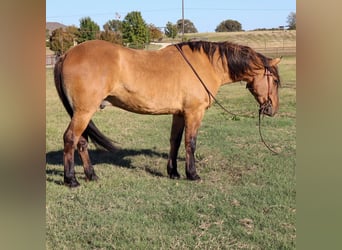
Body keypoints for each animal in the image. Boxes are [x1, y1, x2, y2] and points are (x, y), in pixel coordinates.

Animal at [54, 39, 280, 188]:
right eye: (276, 81)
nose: (273, 110)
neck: (205, 64)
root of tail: (67, 54)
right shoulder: (194, 113)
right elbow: (190, 143)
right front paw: (192, 174)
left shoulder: (179, 114)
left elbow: (175, 142)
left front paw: (173, 172)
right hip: (84, 112)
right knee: (70, 138)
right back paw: (71, 179)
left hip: (82, 112)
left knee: (82, 142)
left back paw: (91, 175)